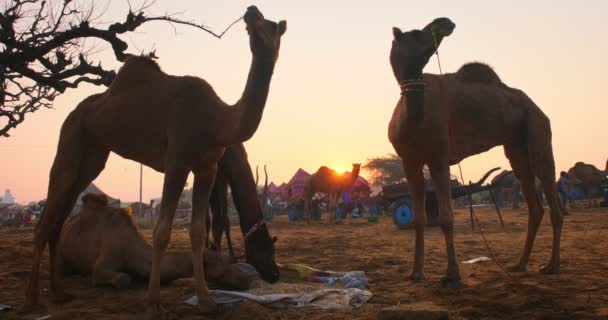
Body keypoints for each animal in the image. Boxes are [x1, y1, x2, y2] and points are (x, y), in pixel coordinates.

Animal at [57, 192, 256, 290]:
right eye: (221, 272)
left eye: (229, 262)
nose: (247, 280)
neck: (130, 249)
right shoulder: (106, 259)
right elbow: (121, 279)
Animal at [390, 17, 564, 288]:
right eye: (416, 33)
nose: (444, 22)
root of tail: (535, 106)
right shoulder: (410, 161)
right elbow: (419, 219)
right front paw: (416, 272)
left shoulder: (439, 157)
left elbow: (446, 218)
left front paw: (452, 275)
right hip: (515, 145)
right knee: (533, 200)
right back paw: (520, 263)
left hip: (538, 128)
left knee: (548, 186)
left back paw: (552, 266)